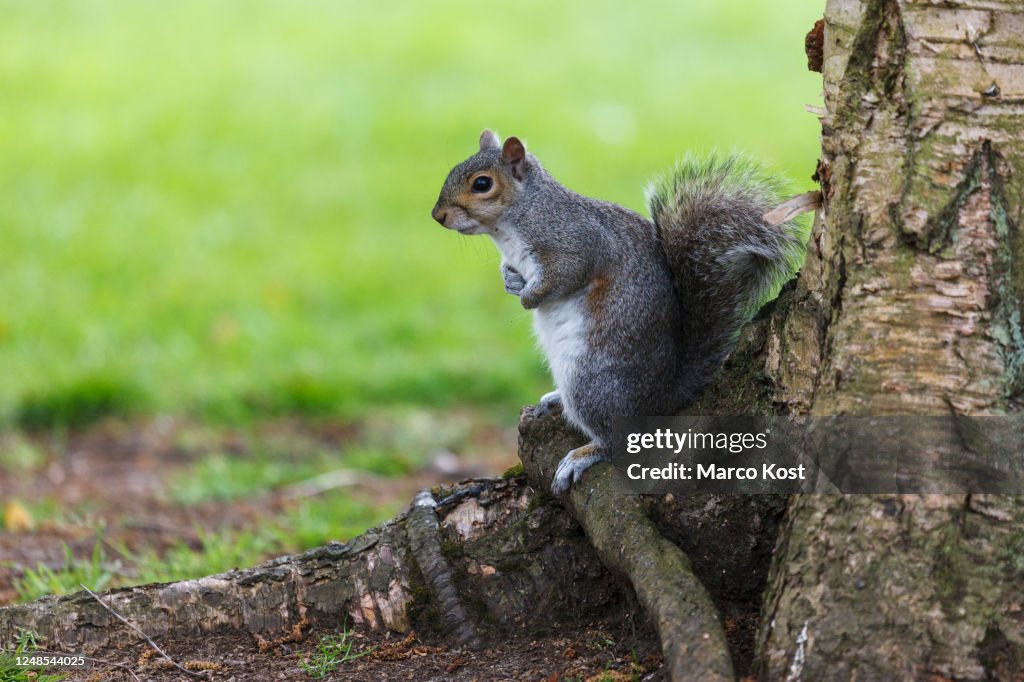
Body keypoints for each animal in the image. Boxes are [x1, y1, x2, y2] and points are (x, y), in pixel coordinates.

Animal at [428, 129, 802, 489]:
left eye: (482, 184)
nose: (438, 216)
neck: (515, 222)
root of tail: (661, 400)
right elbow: (511, 274)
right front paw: (512, 283)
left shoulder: (574, 244)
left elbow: (566, 276)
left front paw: (529, 299)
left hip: (592, 382)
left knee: (616, 441)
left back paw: (583, 454)